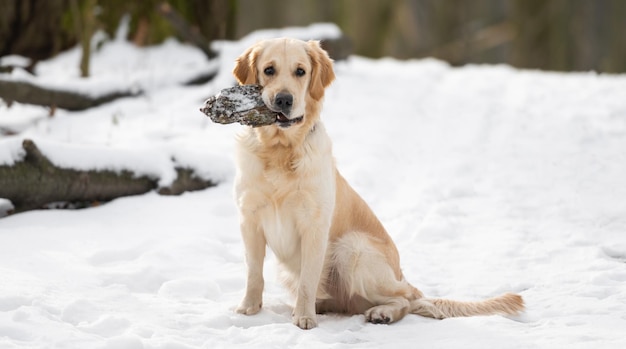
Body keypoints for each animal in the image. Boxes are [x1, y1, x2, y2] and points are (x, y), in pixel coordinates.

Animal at [229, 38, 520, 328]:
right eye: (269, 70)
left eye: (300, 71)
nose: (284, 100)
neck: (280, 151)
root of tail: (402, 277)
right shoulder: (248, 219)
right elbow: (253, 272)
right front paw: (248, 308)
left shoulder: (314, 225)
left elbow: (308, 280)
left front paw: (304, 317)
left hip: (352, 248)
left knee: (404, 299)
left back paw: (382, 313)